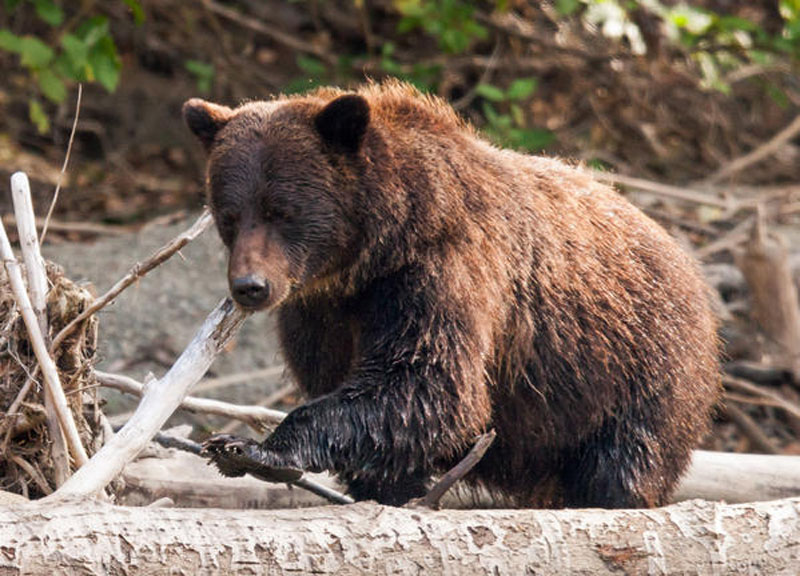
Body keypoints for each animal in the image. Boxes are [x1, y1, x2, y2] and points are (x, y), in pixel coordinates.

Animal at [183, 80, 720, 508]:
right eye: (229, 214)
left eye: (282, 211)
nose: (251, 286)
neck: (373, 255)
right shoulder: (321, 314)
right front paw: (387, 490)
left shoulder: (443, 273)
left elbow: (430, 382)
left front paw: (249, 446)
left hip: (632, 366)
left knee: (625, 458)